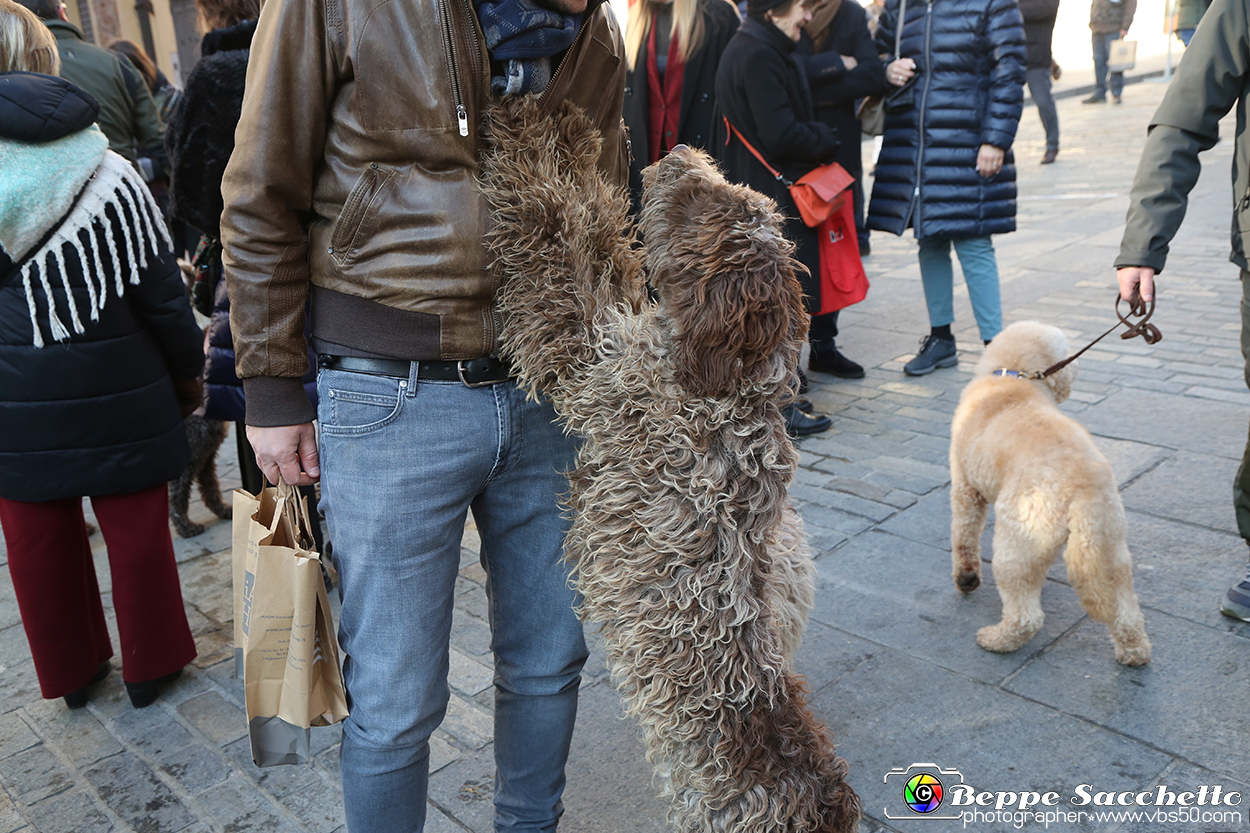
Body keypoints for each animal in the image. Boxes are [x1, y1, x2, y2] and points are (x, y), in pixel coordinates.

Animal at [477, 97, 860, 830]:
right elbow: (597, 232)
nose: (679, 150)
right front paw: (570, 128)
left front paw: (526, 126)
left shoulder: (588, 359)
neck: (722, 385)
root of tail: (823, 802)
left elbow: (556, 232)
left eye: (700, 204)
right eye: (730, 194)